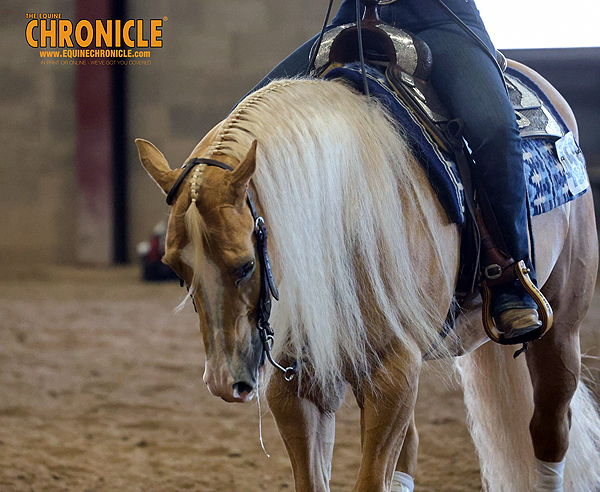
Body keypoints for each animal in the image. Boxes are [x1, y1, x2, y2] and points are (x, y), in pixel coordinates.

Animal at [135, 60, 600, 491]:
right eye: (176, 269)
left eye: (246, 264)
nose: (222, 382)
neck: (345, 211)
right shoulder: (300, 387)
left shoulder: (391, 375)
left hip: (560, 333)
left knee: (549, 429)